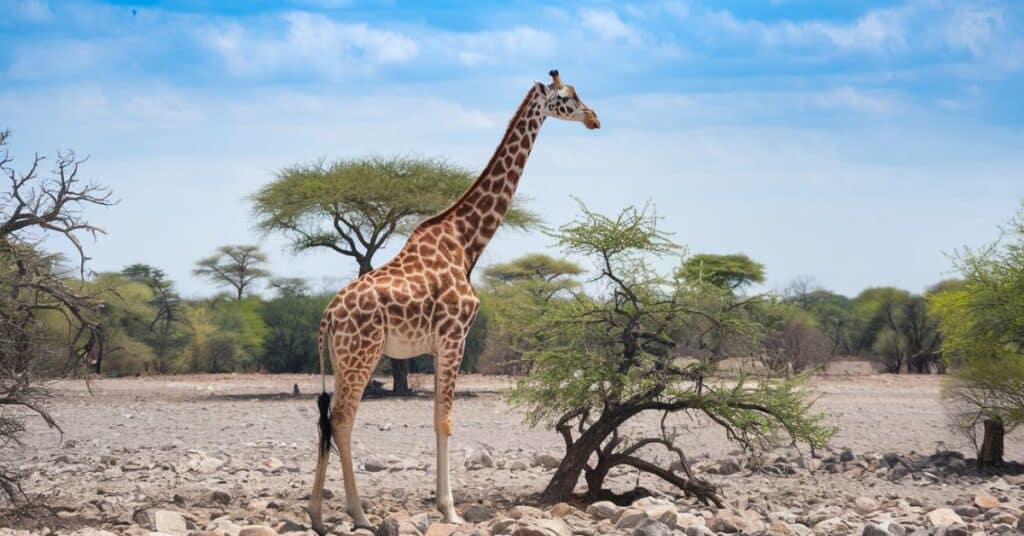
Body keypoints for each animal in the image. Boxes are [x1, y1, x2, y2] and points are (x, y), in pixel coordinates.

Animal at [307, 71, 602, 536]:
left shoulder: (441, 344)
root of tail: (327, 318)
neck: (466, 242)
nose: (594, 118)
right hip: (361, 354)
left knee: (331, 420)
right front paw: (450, 510)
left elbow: (436, 419)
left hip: (342, 357)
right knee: (341, 420)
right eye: (568, 98)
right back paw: (357, 514)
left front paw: (445, 505)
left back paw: (320, 515)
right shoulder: (453, 338)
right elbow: (444, 421)